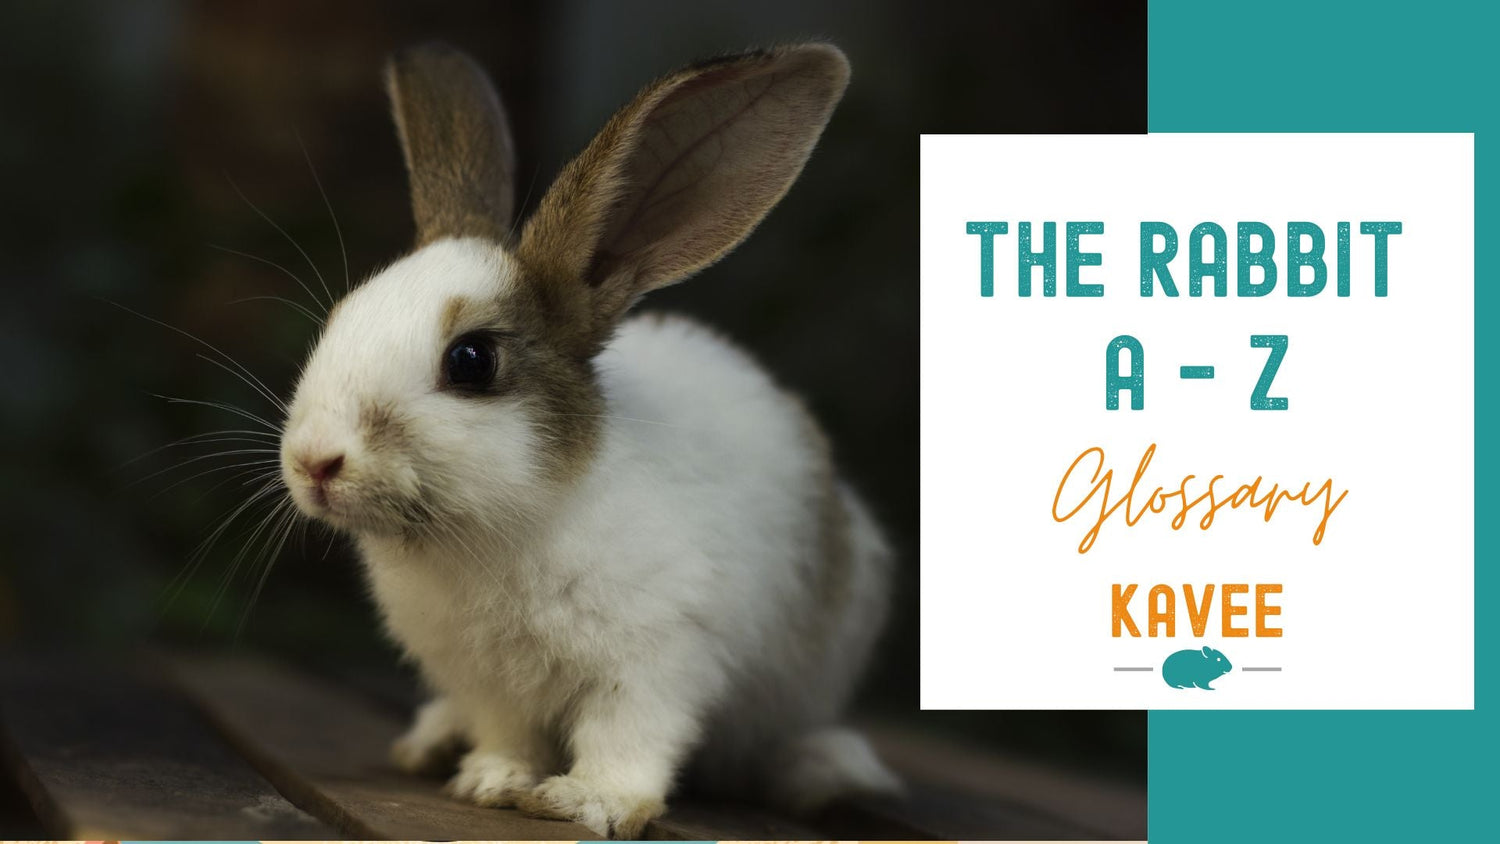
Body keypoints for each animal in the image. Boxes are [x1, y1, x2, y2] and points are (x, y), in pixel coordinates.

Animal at [277, 41, 898, 838]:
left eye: (471, 361)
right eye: (340, 318)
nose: (313, 462)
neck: (500, 526)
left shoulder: (656, 659)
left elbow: (628, 736)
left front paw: (588, 801)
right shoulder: (490, 683)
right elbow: (507, 732)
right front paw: (490, 780)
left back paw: (830, 773)